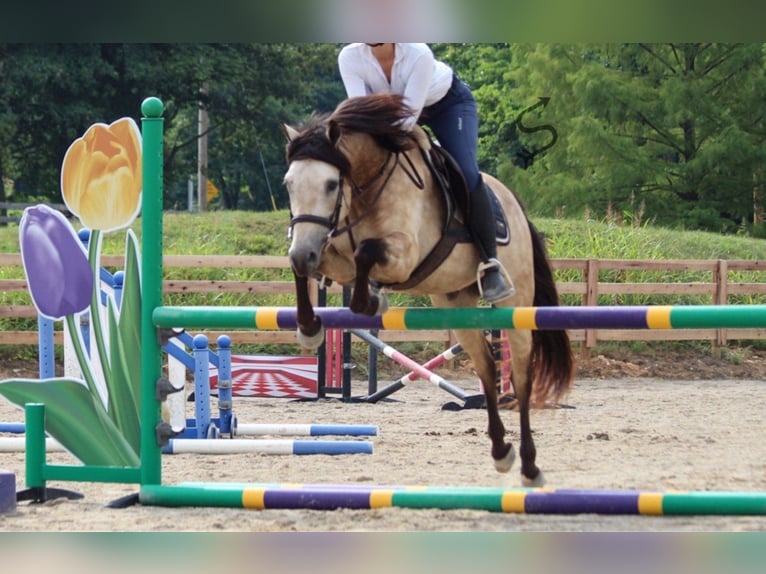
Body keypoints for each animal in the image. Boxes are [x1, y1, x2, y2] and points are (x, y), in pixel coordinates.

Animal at [282, 93, 576, 486]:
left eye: (331, 184)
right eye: (288, 184)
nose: (304, 251)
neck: (366, 188)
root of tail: (514, 203)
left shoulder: (404, 255)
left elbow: (366, 253)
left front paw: (370, 300)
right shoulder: (329, 252)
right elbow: (311, 268)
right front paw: (311, 327)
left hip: (516, 308)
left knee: (521, 378)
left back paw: (529, 466)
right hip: (458, 306)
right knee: (486, 369)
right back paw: (501, 452)